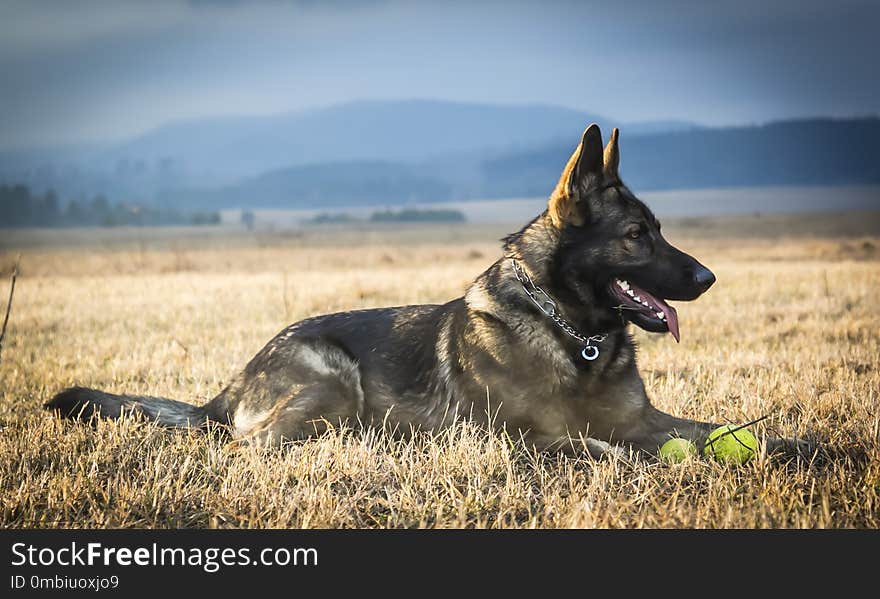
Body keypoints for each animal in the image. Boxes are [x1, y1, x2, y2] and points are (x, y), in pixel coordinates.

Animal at [46, 124, 804, 458]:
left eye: (660, 230)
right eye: (636, 236)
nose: (708, 277)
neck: (571, 335)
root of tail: (232, 384)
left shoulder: (644, 417)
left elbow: (730, 431)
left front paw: (801, 446)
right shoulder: (530, 437)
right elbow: (609, 449)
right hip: (333, 385)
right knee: (250, 446)